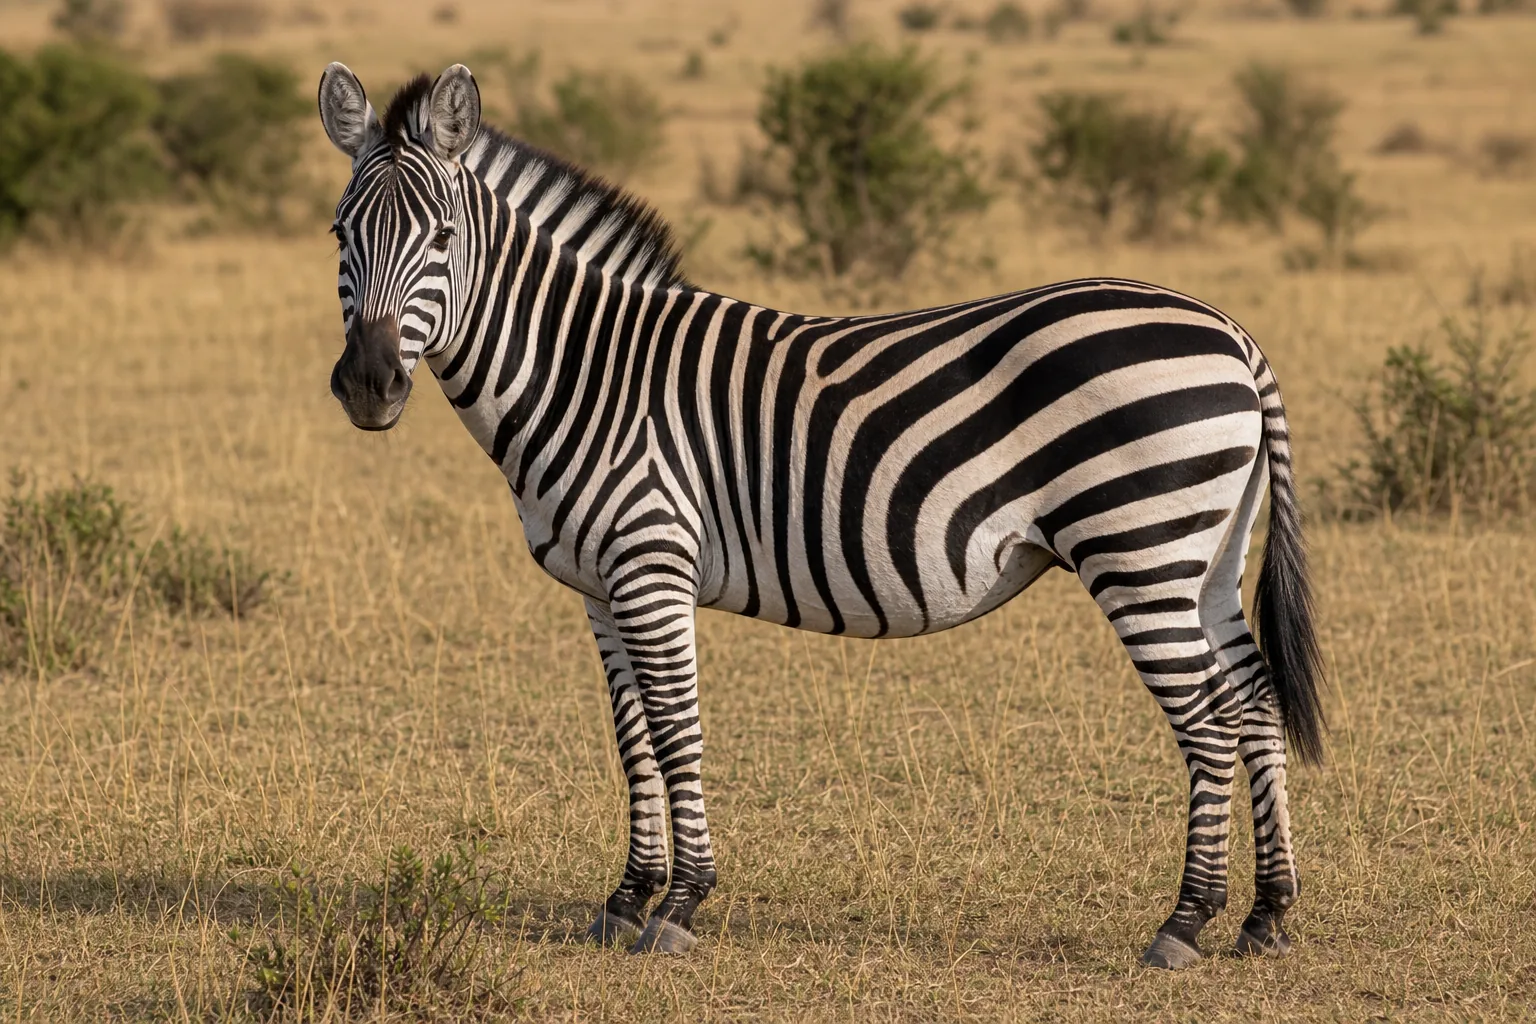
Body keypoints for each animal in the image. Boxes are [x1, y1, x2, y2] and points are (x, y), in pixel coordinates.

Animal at [317, 63, 1326, 968]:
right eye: (339, 233)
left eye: (443, 237)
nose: (368, 385)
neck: (585, 370)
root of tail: (1231, 332)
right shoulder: (599, 587)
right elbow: (632, 737)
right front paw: (626, 897)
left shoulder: (651, 563)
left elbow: (676, 728)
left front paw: (680, 906)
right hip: (1205, 555)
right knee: (1254, 698)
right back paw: (1266, 915)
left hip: (1138, 549)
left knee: (1206, 719)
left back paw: (1185, 921)